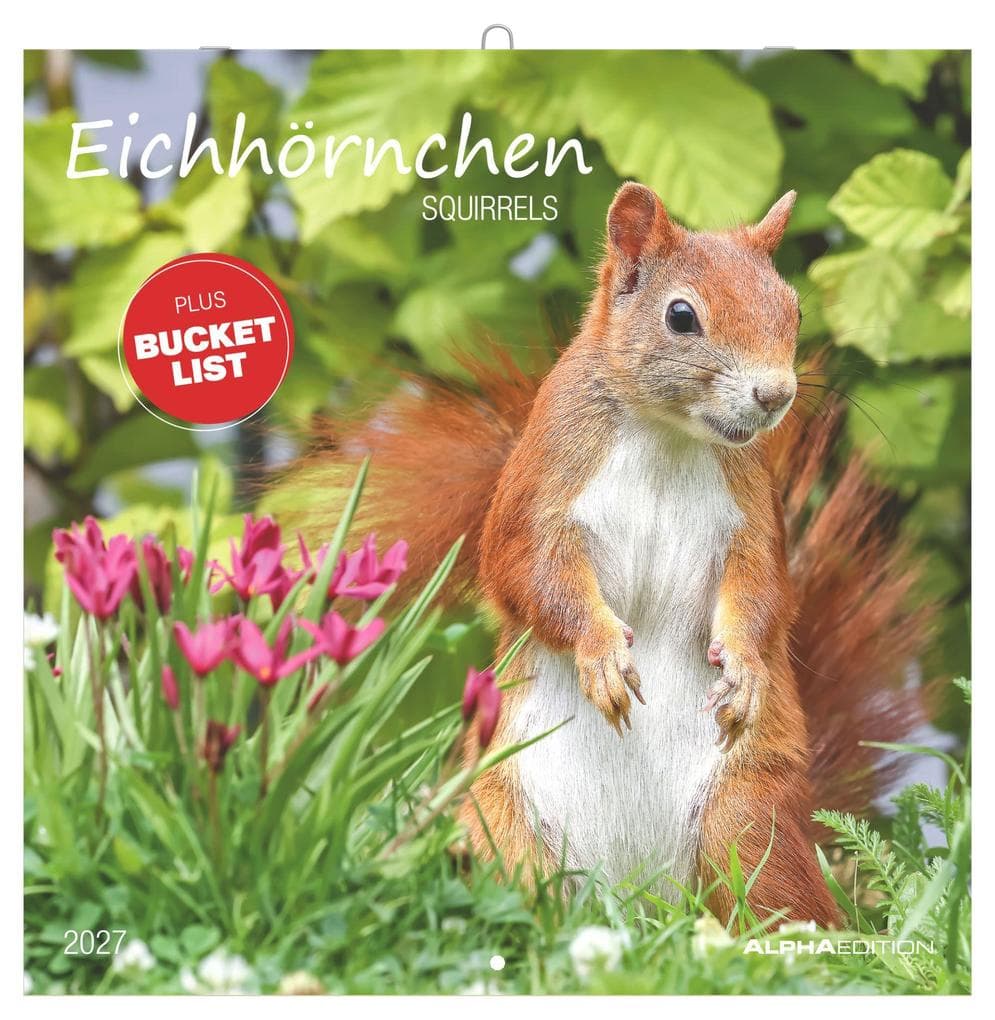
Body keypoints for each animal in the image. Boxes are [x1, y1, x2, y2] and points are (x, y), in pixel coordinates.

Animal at [297, 182, 934, 927]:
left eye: (793, 307)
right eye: (681, 316)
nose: (774, 394)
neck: (668, 436)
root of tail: (636, 903)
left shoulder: (751, 513)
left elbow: (763, 593)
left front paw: (745, 668)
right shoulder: (541, 488)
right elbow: (529, 575)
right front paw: (601, 654)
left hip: (745, 822)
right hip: (504, 827)